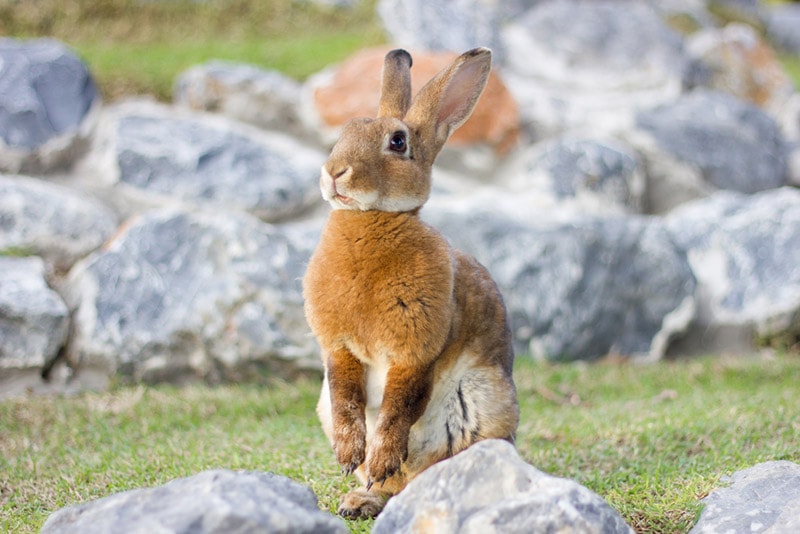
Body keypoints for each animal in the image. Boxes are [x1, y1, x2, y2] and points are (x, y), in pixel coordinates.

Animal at [302, 47, 520, 520]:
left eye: (398, 143)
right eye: (343, 133)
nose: (334, 172)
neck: (372, 219)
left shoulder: (416, 351)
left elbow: (399, 407)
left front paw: (379, 457)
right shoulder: (340, 349)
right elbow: (346, 398)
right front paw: (348, 456)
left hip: (482, 409)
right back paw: (361, 498)